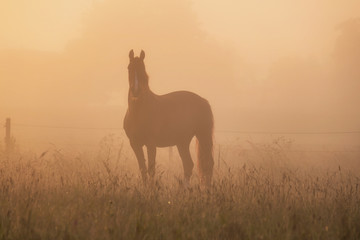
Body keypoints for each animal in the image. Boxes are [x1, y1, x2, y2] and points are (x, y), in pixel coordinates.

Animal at [124, 49, 214, 187]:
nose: (136, 90)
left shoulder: (151, 144)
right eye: (129, 68)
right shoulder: (135, 144)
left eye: (143, 68)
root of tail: (203, 101)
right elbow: (142, 168)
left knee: (207, 164)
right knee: (188, 164)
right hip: (182, 142)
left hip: (202, 136)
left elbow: (151, 169)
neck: (139, 112)